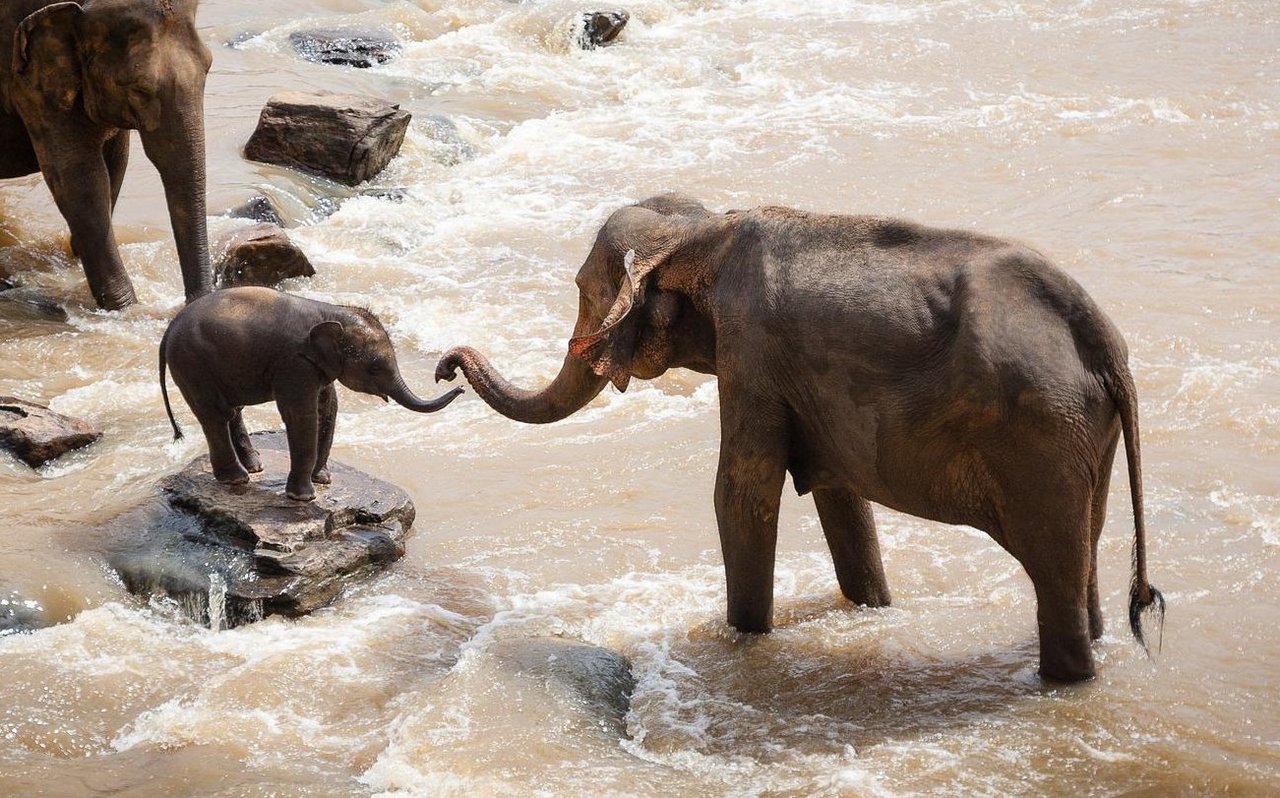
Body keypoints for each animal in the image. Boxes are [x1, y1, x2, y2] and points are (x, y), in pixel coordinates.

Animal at [0, 0, 212, 311]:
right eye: (139, 88)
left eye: (208, 67)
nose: (196, 302)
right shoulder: (29, 77)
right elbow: (79, 179)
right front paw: (125, 308)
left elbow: (115, 162)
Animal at [157, 285, 463, 499]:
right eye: (375, 368)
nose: (456, 382)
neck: (331, 311)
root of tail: (168, 330)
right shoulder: (295, 364)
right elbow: (301, 416)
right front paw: (303, 497)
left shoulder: (318, 365)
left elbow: (328, 409)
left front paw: (323, 480)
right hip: (192, 365)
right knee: (215, 414)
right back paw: (237, 478)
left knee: (231, 410)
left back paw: (254, 467)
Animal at [435, 192, 1167, 681]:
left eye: (585, 291)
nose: (445, 367)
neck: (704, 230)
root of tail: (1106, 346)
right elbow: (841, 497)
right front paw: (872, 607)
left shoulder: (751, 356)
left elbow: (740, 493)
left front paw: (742, 640)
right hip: (1081, 437)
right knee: (1083, 552)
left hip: (1042, 435)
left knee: (1053, 568)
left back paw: (1063, 680)